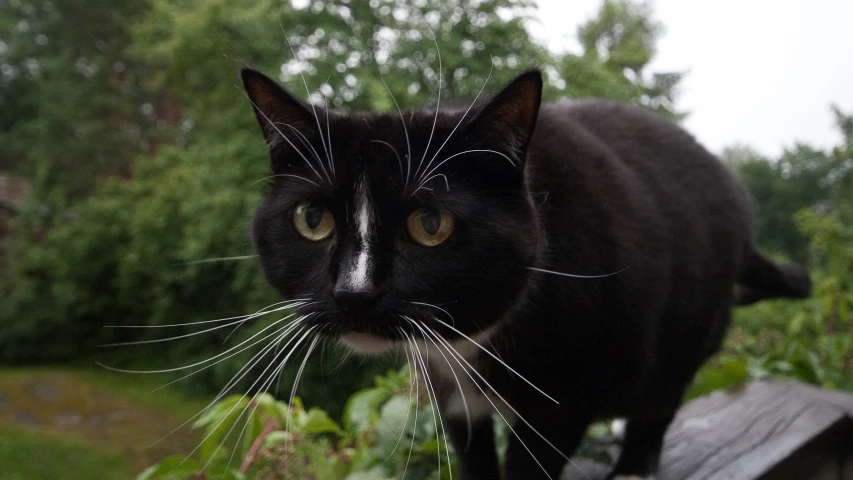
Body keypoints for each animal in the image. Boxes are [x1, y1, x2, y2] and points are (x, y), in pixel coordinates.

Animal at [241, 67, 812, 480]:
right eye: (312, 219)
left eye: (431, 224)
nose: (353, 293)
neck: (473, 344)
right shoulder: (452, 392)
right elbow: (473, 453)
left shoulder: (565, 397)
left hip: (688, 328)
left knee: (661, 397)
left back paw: (634, 464)